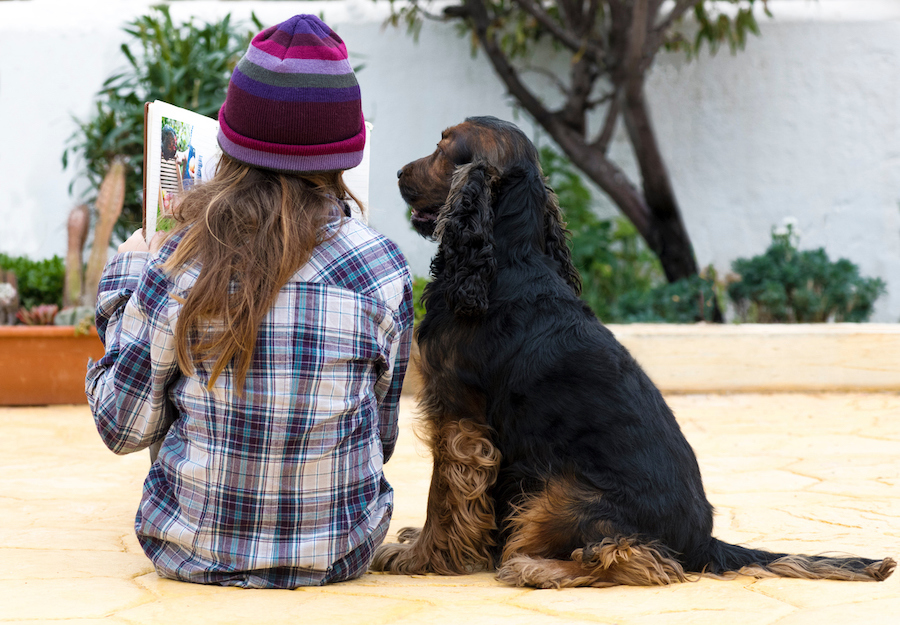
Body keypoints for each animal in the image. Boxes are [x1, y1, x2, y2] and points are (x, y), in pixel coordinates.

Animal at [370, 116, 892, 584]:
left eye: (443, 148)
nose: (396, 173)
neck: (506, 258)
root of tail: (703, 542)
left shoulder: (460, 419)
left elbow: (444, 496)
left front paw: (421, 557)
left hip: (561, 494)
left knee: (642, 559)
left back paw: (538, 567)